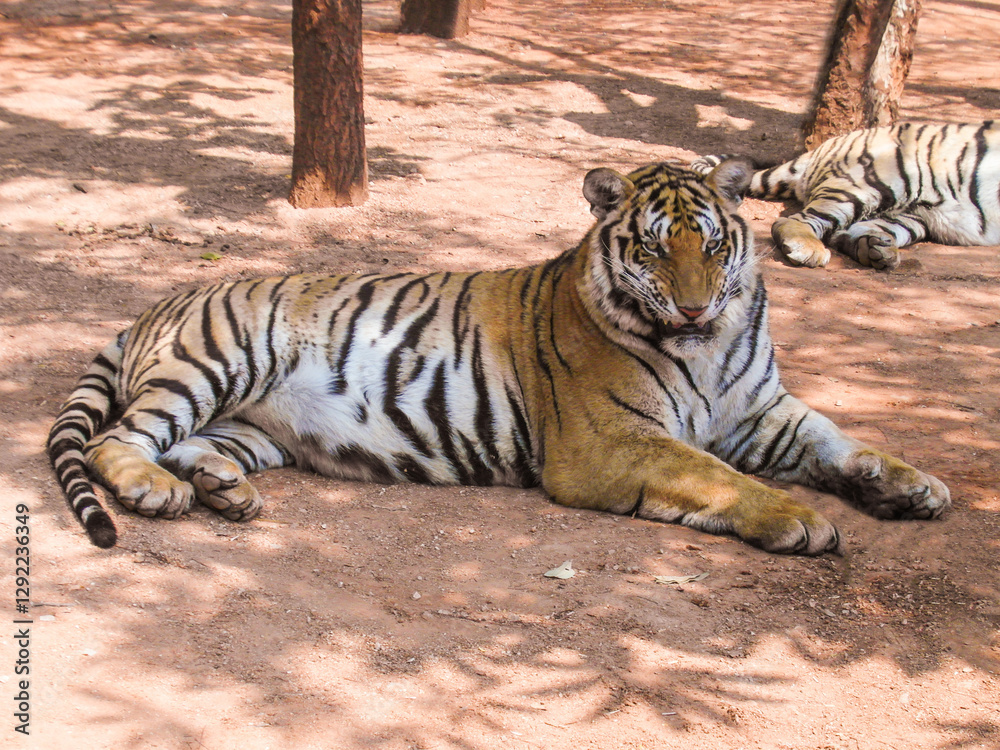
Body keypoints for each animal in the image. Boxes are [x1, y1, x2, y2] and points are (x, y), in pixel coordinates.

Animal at [47, 159, 951, 556]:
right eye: (655, 249)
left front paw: (911, 487)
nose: (696, 306)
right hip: (213, 362)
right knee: (118, 440)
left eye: (715, 245)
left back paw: (223, 492)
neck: (708, 346)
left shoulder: (761, 411)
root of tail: (154, 305)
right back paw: (161, 493)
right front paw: (799, 518)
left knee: (192, 445)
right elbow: (715, 475)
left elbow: (841, 440)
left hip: (255, 426)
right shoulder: (608, 443)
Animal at [693, 121, 1000, 270]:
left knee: (849, 233)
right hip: (872, 182)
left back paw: (877, 250)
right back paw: (809, 250)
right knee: (793, 221)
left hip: (917, 215)